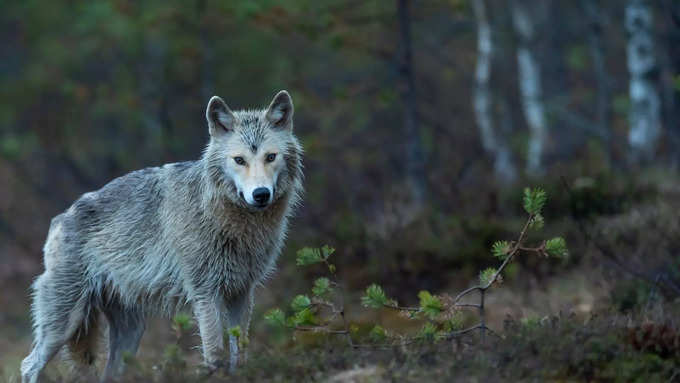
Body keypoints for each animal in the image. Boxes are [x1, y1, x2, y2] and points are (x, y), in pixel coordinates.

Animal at [19, 91, 304, 383]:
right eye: (239, 160)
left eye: (271, 157)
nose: (261, 194)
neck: (229, 221)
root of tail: (60, 218)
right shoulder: (205, 293)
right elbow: (215, 353)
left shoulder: (242, 293)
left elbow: (241, 352)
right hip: (64, 324)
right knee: (28, 364)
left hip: (130, 334)